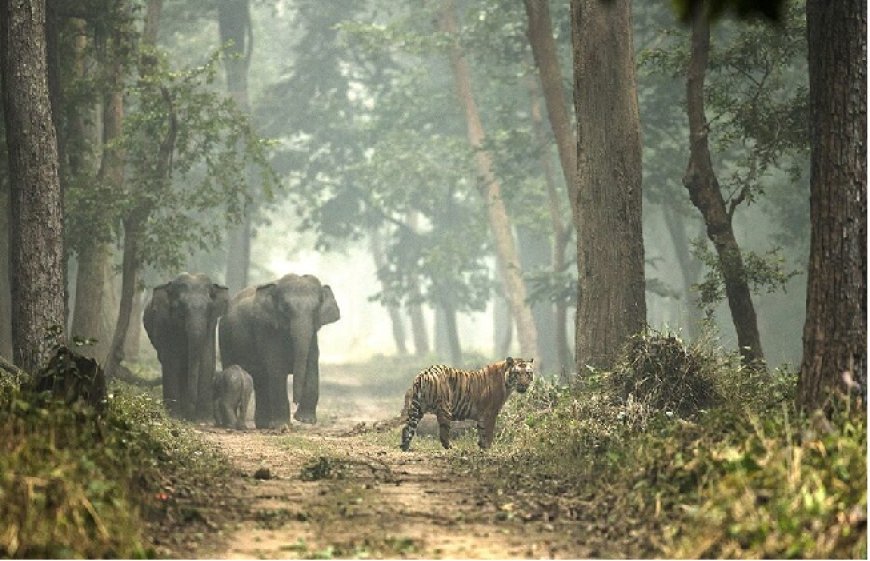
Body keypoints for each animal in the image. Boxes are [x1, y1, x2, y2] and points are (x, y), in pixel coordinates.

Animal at [400, 357, 534, 451]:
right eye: (517, 374)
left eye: (528, 373)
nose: (524, 384)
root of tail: (424, 374)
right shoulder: (490, 413)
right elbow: (489, 433)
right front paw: (489, 448)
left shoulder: (482, 416)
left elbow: (482, 432)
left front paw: (482, 447)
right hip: (444, 409)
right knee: (443, 434)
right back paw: (452, 448)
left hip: (417, 408)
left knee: (407, 428)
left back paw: (405, 447)